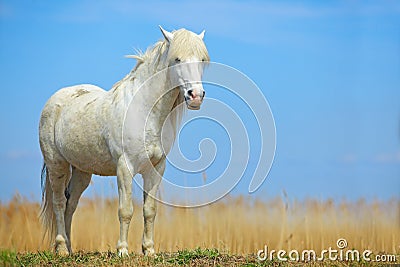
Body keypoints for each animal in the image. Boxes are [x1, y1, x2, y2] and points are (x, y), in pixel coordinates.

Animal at [39, 26, 209, 256]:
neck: (144, 110)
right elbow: (125, 210)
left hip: (82, 171)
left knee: (70, 204)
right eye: (177, 59)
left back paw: (69, 247)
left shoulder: (156, 168)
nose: (196, 96)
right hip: (57, 165)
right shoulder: (125, 168)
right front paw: (123, 250)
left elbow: (150, 210)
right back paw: (62, 248)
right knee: (58, 203)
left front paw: (149, 250)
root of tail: (55, 100)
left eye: (201, 59)